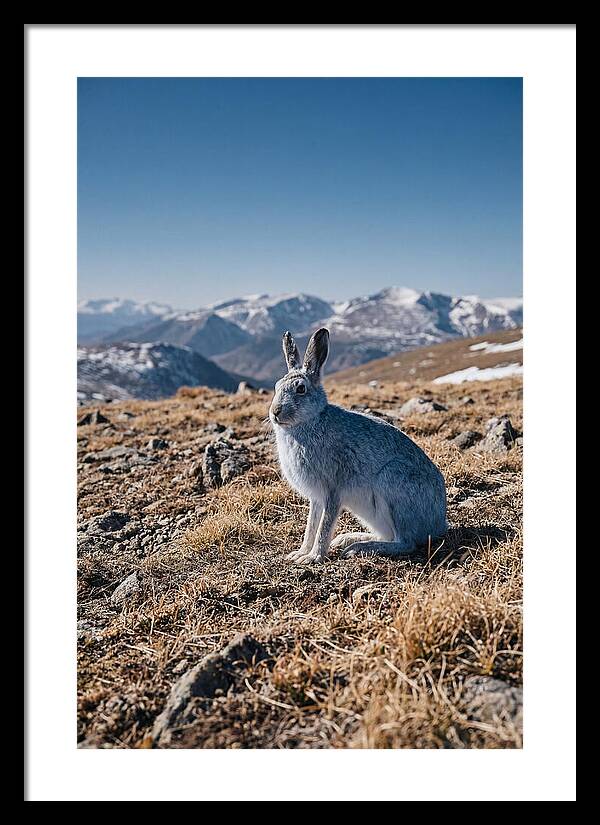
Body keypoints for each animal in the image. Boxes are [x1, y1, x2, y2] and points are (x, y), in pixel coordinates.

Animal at [269, 327, 447, 563]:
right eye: (276, 386)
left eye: (300, 389)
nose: (275, 412)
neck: (310, 421)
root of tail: (439, 524)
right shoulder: (316, 498)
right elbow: (311, 525)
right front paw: (300, 553)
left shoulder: (333, 490)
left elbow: (324, 526)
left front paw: (313, 557)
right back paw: (348, 539)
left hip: (393, 484)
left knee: (405, 542)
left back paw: (358, 548)